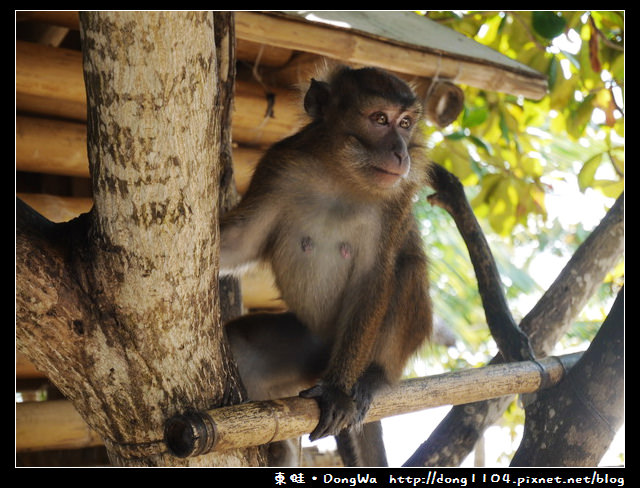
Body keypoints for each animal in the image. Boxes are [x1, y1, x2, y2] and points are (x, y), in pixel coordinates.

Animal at [221, 66, 436, 466]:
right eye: (379, 119)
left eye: (405, 123)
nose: (401, 153)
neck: (341, 174)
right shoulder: (281, 165)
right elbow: (240, 242)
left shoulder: (396, 201)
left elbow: (373, 279)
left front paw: (337, 392)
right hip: (307, 349)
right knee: (243, 345)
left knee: (406, 268)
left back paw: (372, 377)